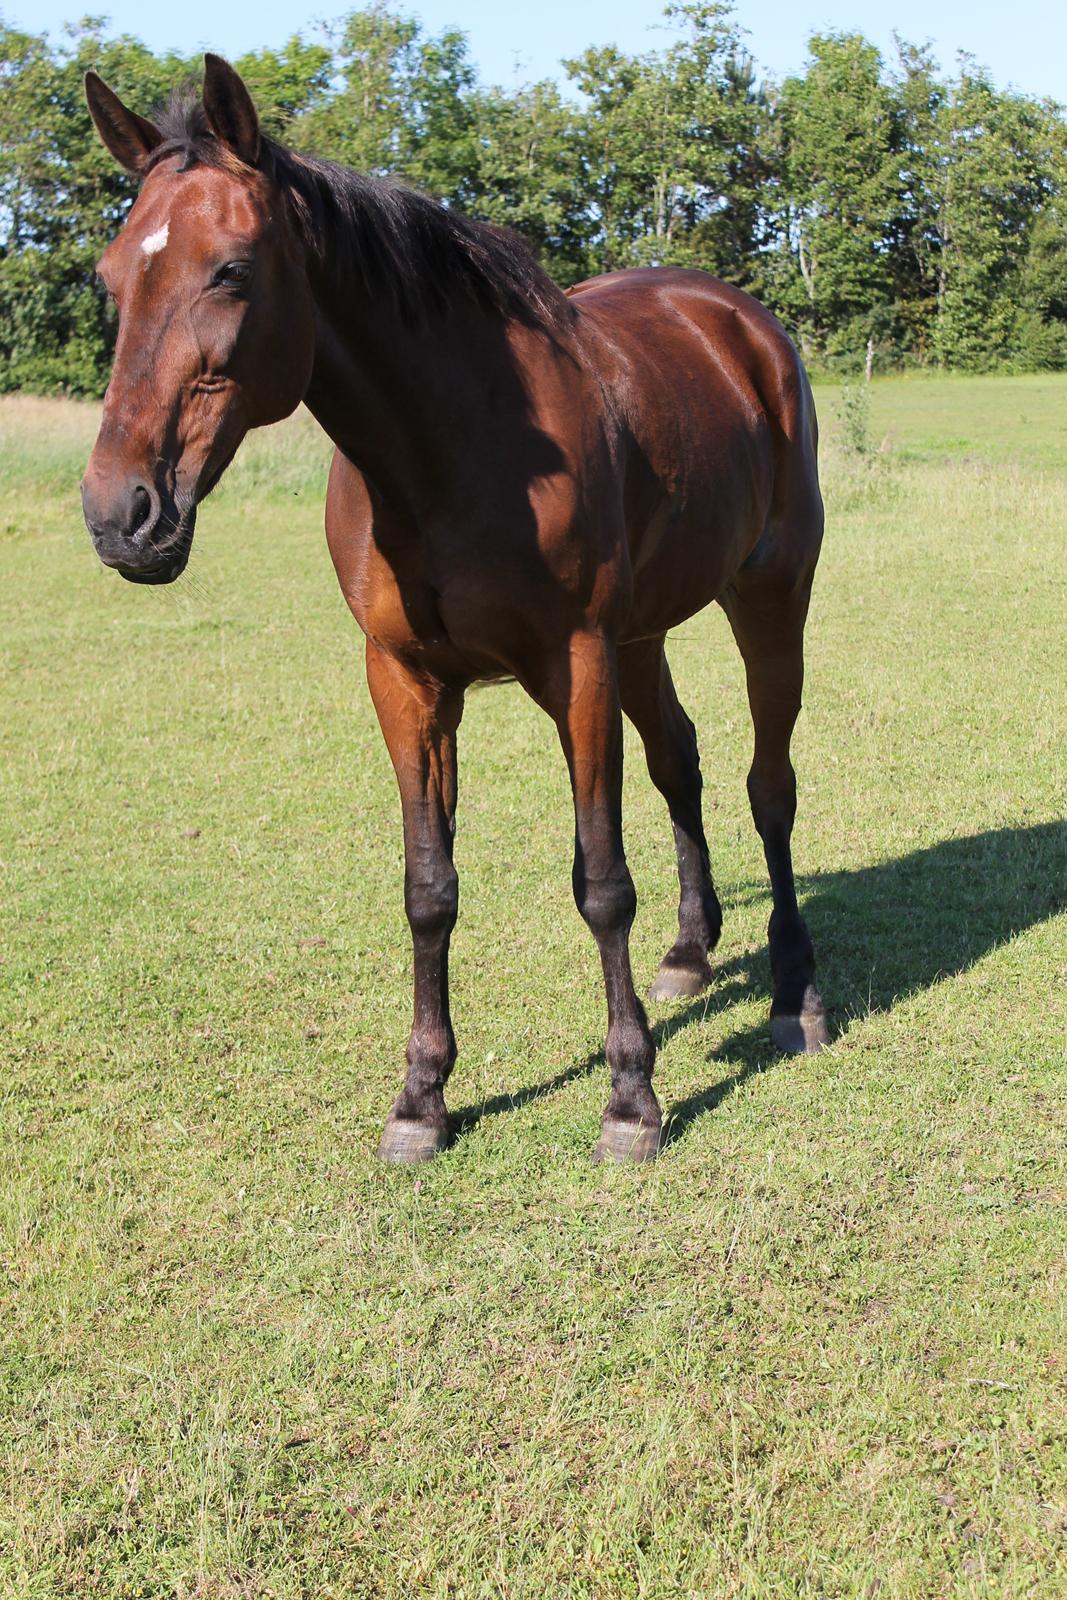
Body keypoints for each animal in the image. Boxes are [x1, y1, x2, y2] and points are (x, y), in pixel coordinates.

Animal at [85, 56, 831, 1171]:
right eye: (110, 275)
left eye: (230, 270)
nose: (119, 513)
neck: (453, 446)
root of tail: (736, 320)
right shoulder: (407, 679)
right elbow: (427, 890)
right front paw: (422, 1097)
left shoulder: (575, 664)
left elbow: (600, 881)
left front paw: (630, 1099)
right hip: (643, 637)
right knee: (682, 763)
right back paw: (691, 951)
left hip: (767, 599)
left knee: (767, 785)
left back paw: (794, 993)